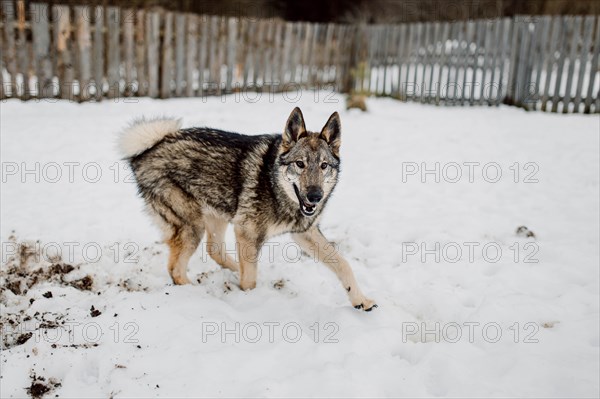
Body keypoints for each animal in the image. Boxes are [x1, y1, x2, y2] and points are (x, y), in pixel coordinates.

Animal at [119, 108, 378, 310]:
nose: (315, 196)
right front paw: (250, 299)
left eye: (324, 166)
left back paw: (234, 270)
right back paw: (199, 294)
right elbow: (250, 281)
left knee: (215, 251)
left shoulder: (304, 233)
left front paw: (360, 300)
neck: (275, 186)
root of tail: (148, 148)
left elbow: (343, 264)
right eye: (300, 164)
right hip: (194, 227)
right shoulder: (247, 232)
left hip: (217, 214)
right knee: (176, 270)